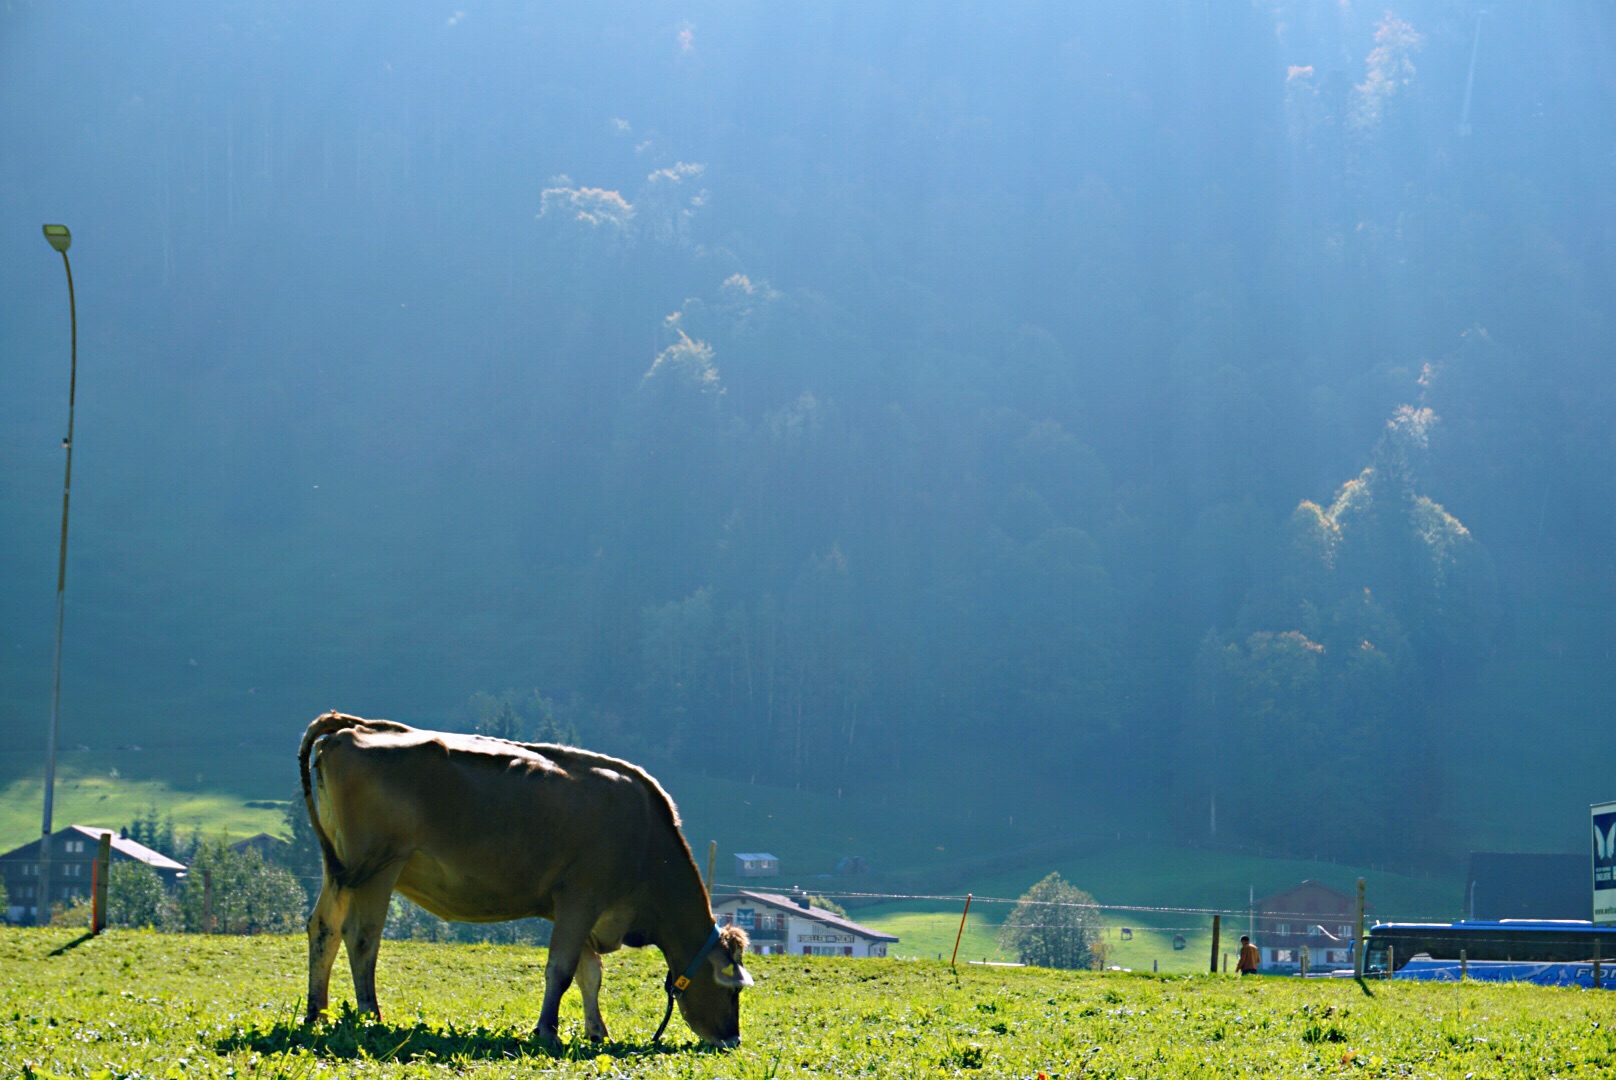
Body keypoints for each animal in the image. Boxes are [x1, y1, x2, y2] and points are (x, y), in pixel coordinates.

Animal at [297, 708, 749, 1047]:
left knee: (324, 928)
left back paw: (316, 1012)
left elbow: (590, 973)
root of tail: (353, 727)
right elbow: (562, 969)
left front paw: (597, 1032)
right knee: (361, 937)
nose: (732, 1040)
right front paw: (547, 1032)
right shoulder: (581, 898)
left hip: (340, 867)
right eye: (733, 991)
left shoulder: (578, 910)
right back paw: (370, 1015)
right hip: (379, 866)